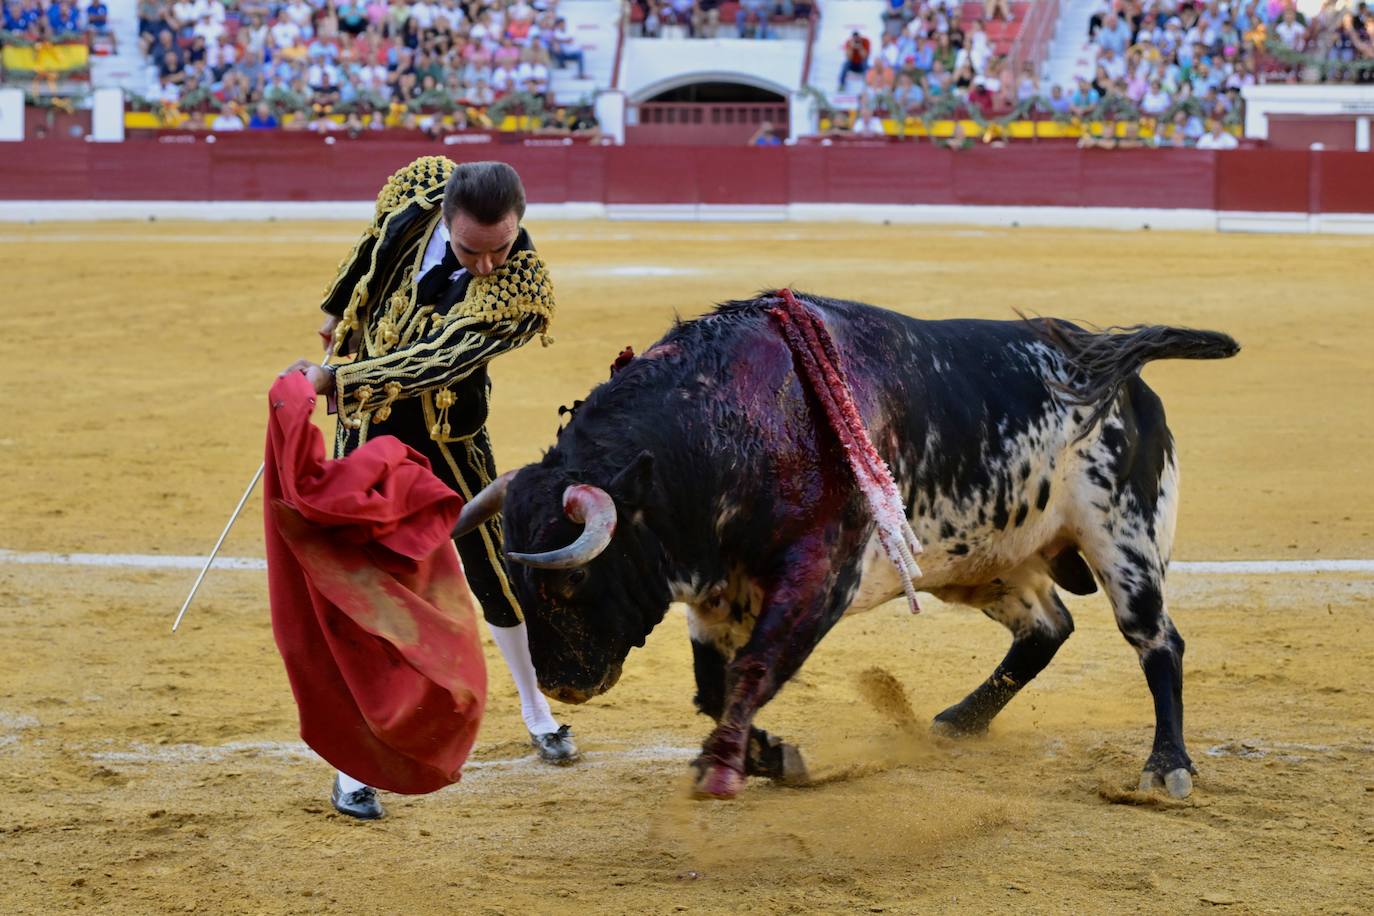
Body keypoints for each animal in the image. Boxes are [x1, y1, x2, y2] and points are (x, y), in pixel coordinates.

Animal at [456, 295, 1242, 802]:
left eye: (568, 582)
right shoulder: (714, 591)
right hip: (987, 560)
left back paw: (1167, 767)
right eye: (520, 588)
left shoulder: (819, 575)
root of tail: (1116, 377)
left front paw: (724, 769)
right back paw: (957, 721)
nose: (563, 685)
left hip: (1124, 537)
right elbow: (715, 685)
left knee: (1156, 641)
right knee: (1048, 628)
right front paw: (771, 755)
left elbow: (754, 669)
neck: (723, 428)